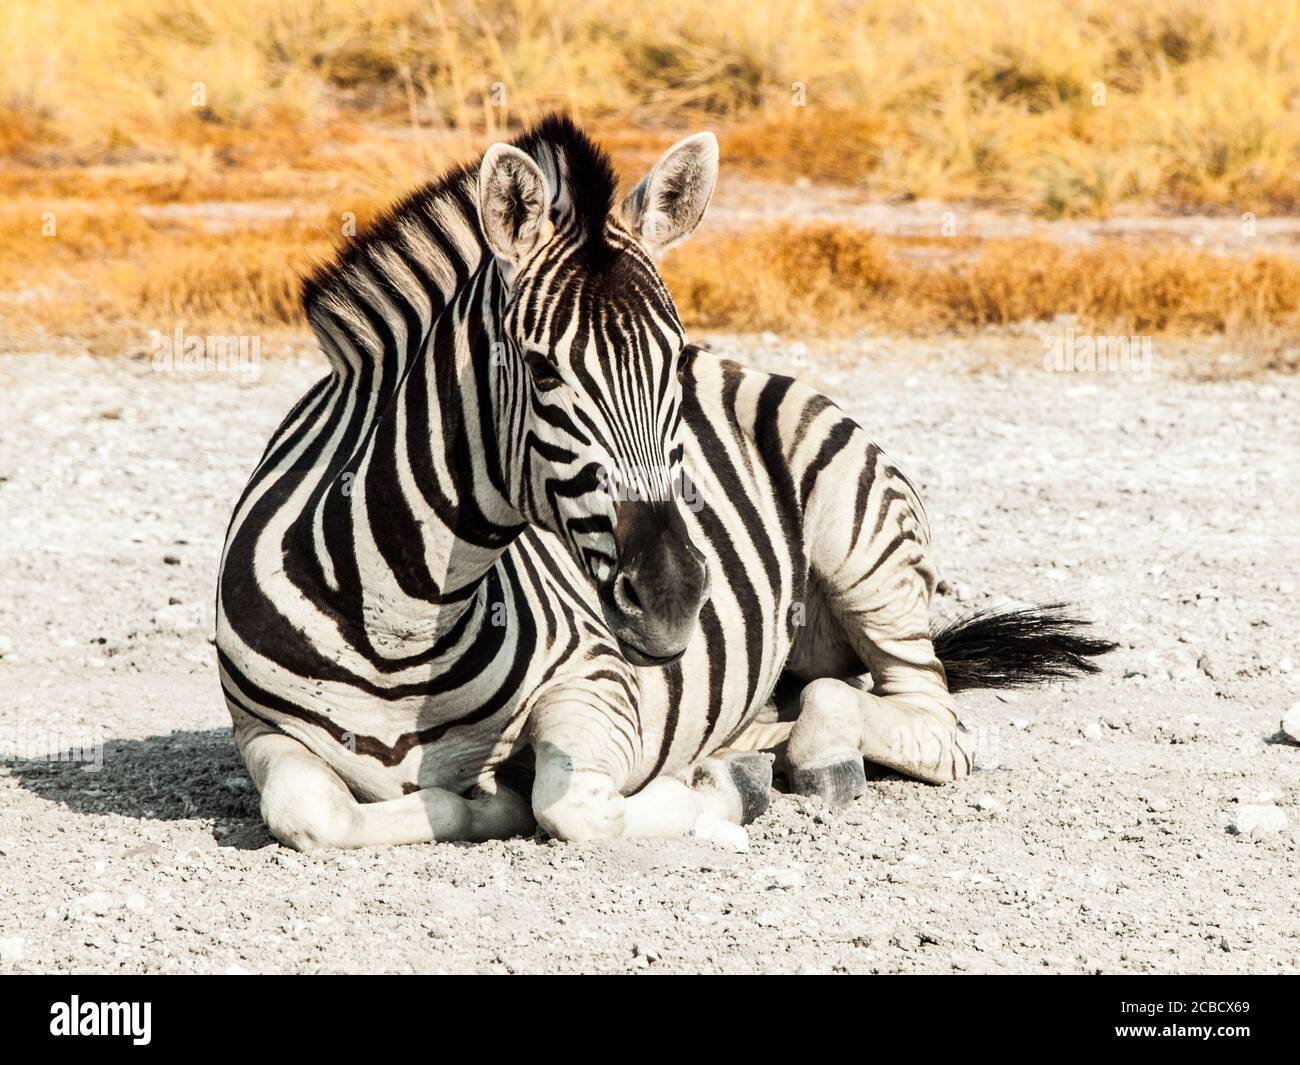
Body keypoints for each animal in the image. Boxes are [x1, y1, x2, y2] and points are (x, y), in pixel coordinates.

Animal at [215, 114, 1112, 850]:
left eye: (674, 364)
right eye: (541, 370)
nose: (676, 597)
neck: (399, 627)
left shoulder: (600, 685)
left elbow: (568, 805)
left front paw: (718, 793)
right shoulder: (261, 732)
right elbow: (311, 813)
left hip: (862, 545)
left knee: (923, 717)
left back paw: (803, 754)